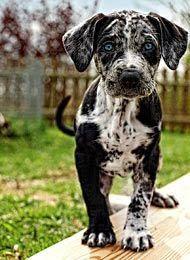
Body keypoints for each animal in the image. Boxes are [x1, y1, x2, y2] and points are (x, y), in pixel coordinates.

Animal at [55, 10, 188, 252]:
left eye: (148, 45)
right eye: (108, 46)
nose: (130, 76)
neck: (122, 112)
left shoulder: (149, 157)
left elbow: (140, 197)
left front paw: (136, 232)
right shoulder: (83, 156)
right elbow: (93, 196)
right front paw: (99, 230)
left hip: (159, 156)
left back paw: (160, 196)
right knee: (104, 193)